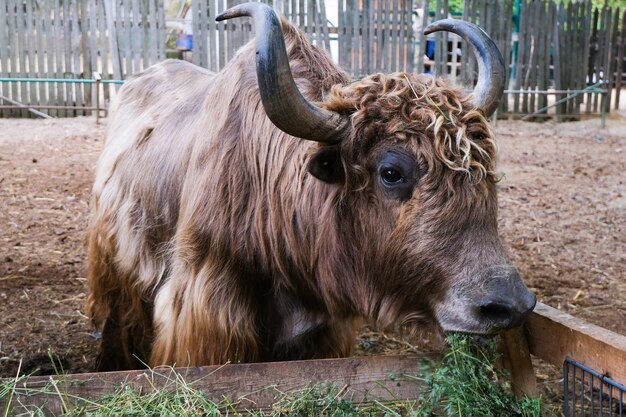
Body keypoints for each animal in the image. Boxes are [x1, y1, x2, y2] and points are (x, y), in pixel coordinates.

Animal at [86, 1, 536, 368]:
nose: (509, 306)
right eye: (391, 172)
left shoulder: (322, 333)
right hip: (114, 269)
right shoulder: (206, 317)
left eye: (483, 168)